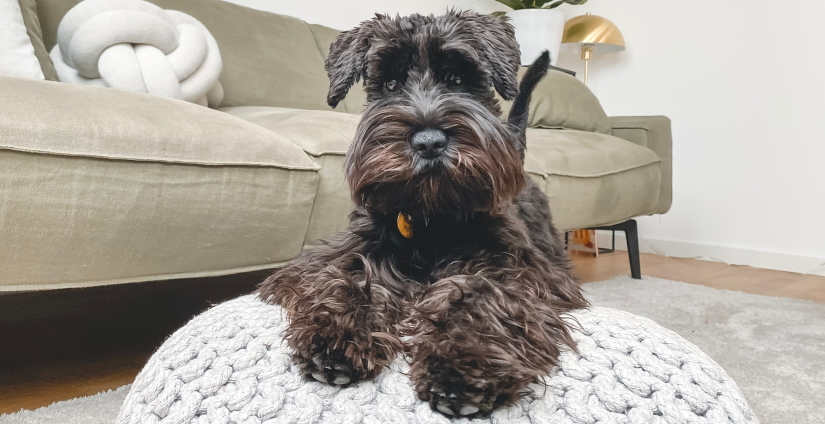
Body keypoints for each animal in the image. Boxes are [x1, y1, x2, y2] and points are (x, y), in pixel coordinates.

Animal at [258, 10, 584, 418]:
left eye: (458, 79)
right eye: (390, 83)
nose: (428, 142)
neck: (432, 215)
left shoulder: (518, 270)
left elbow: (482, 295)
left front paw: (462, 365)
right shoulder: (342, 254)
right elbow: (349, 276)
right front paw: (334, 336)